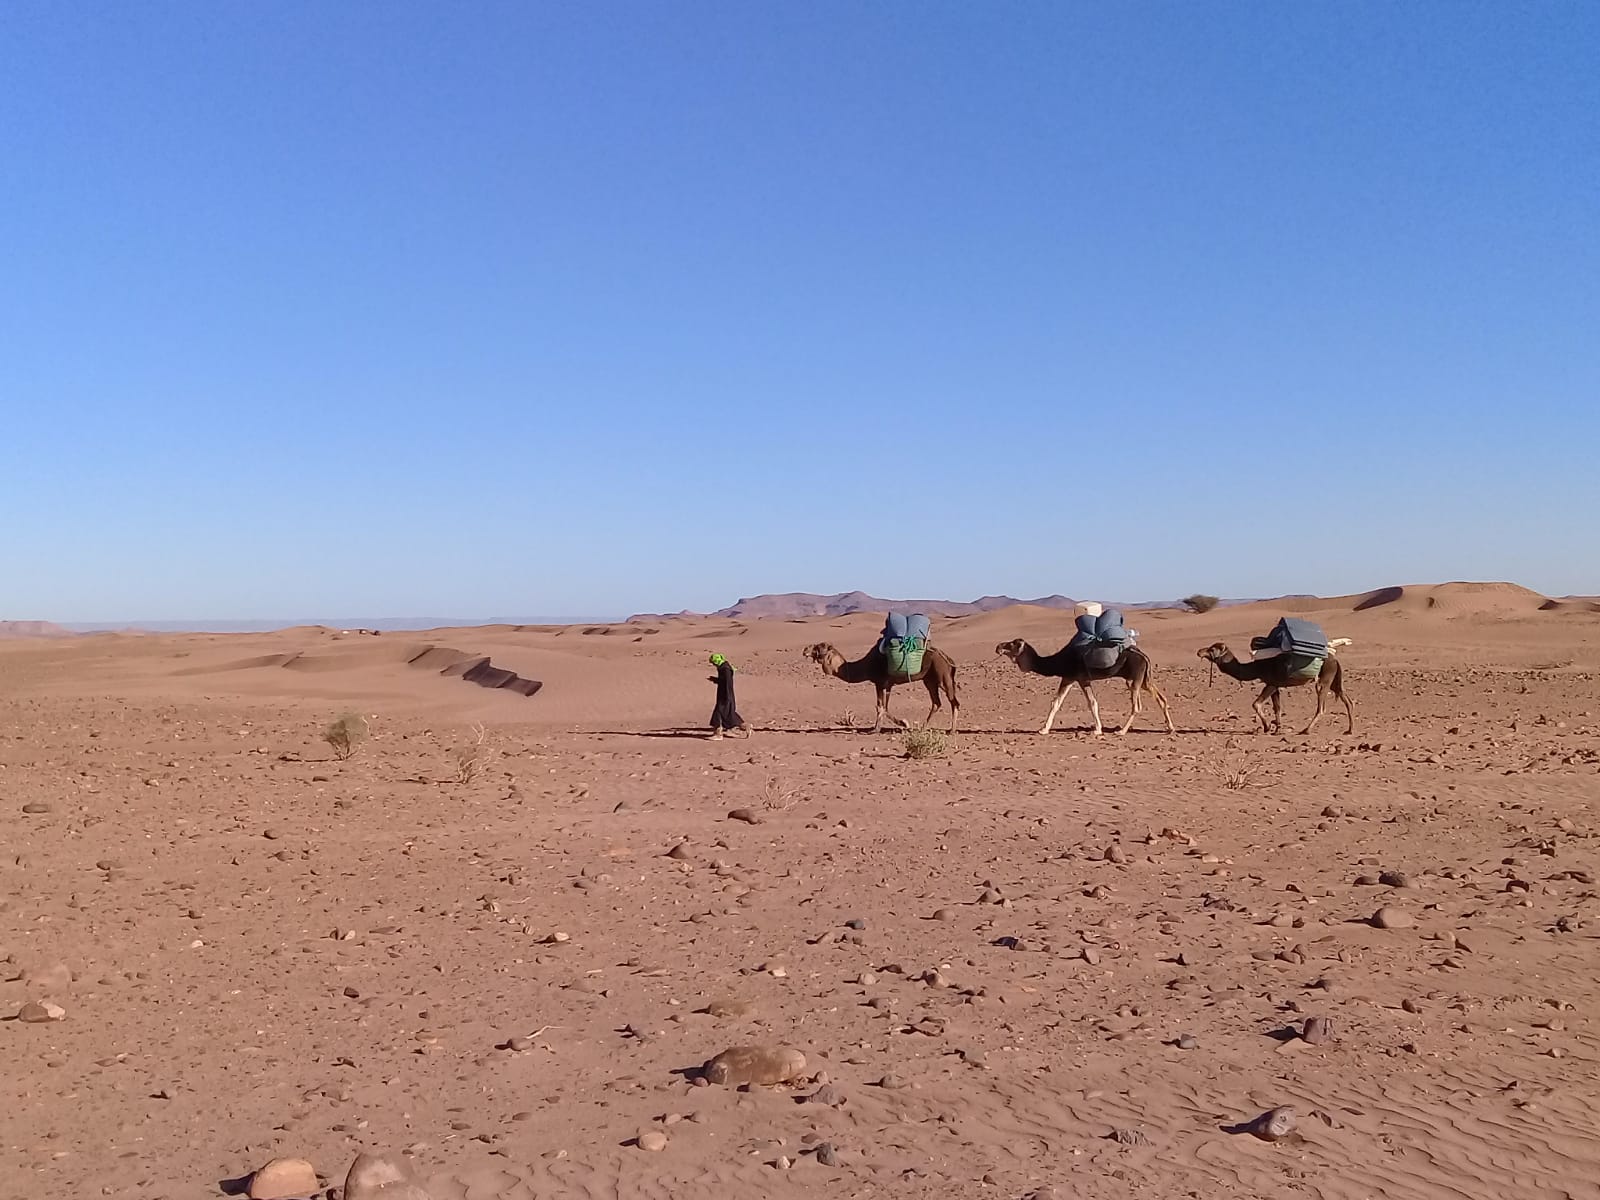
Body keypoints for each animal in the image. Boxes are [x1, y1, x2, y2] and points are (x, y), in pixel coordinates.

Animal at [806, 649, 953, 732]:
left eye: (819, 648)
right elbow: (884, 707)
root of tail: (946, 657)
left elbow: (880, 707)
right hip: (929, 679)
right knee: (937, 702)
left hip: (940, 675)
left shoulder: (880, 682)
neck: (866, 665)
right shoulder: (887, 685)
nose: (805, 651)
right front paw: (903, 723)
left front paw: (877, 729)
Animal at [992, 643, 1171, 739]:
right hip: (1143, 679)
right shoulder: (1069, 678)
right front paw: (1044, 729)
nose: (998, 647)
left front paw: (1097, 730)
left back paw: (1121, 731)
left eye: (1012, 643)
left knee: (1137, 706)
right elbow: (1056, 702)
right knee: (1161, 698)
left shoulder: (1079, 678)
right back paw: (1170, 728)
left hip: (1134, 680)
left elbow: (1091, 702)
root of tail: (1143, 655)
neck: (1059, 660)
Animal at [1203, 643, 1350, 739]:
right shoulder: (1275, 685)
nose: (1199, 651)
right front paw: (1277, 730)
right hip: (1333, 679)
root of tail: (1335, 659)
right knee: (1346, 699)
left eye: (1211, 649)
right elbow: (1277, 708)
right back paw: (1349, 730)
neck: (1256, 667)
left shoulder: (1272, 683)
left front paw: (1267, 727)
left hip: (1325, 678)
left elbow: (1256, 704)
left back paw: (1306, 730)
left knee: (1321, 706)